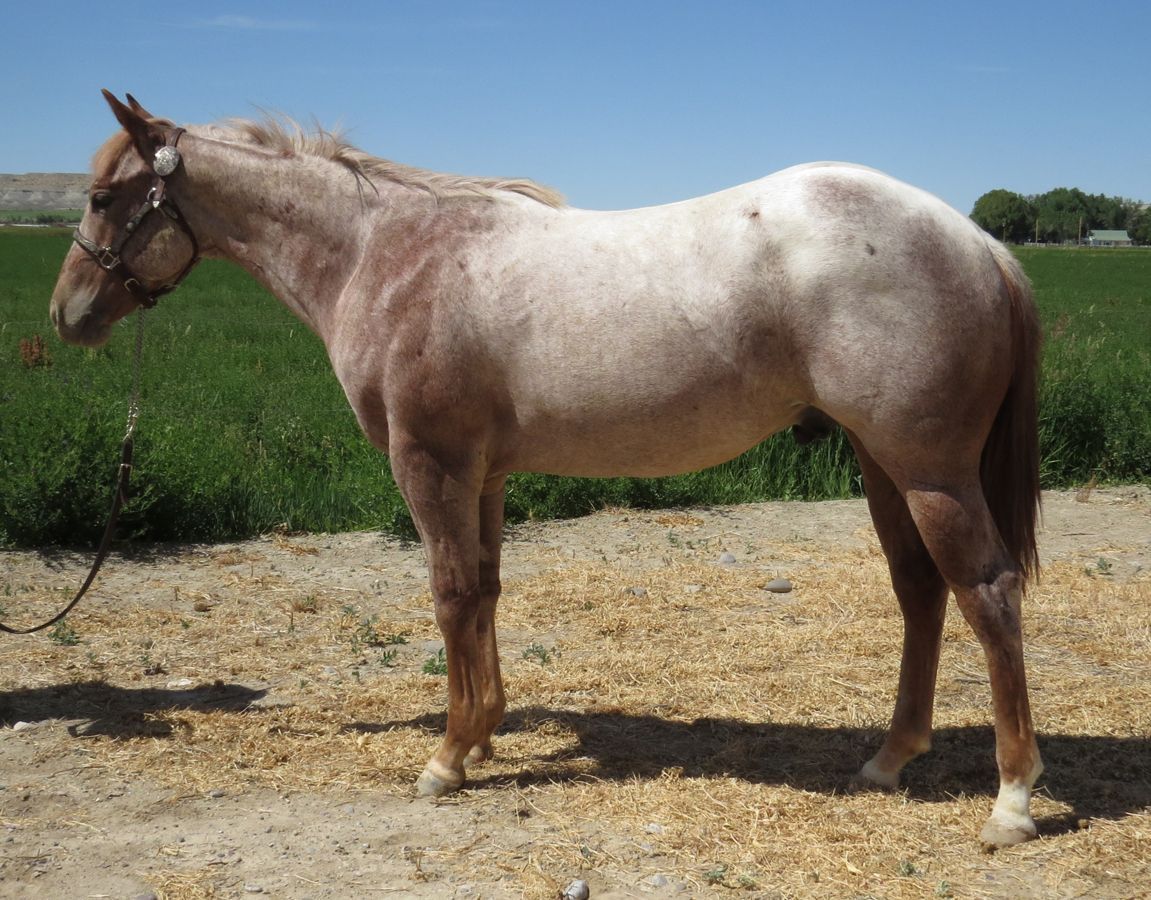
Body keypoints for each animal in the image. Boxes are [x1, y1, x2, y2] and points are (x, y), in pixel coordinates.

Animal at [51, 91, 1044, 848]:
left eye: (101, 197)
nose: (67, 315)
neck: (383, 254)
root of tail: (978, 242)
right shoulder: (484, 476)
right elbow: (486, 592)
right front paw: (485, 733)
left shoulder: (430, 466)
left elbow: (451, 595)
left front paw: (445, 760)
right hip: (883, 466)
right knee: (920, 592)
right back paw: (888, 758)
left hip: (929, 470)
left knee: (986, 594)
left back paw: (1010, 801)